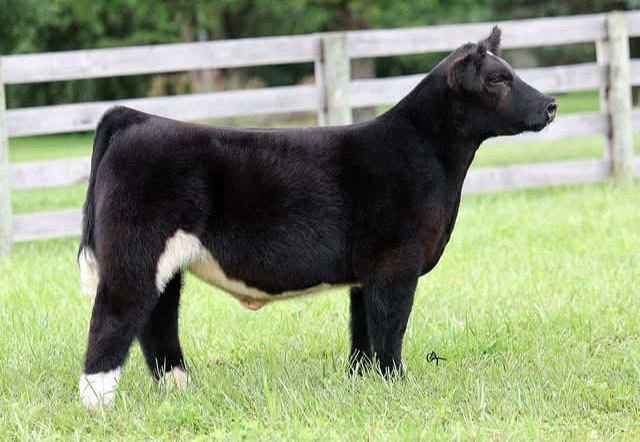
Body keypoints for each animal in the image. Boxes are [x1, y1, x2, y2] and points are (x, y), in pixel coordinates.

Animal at [77, 27, 557, 408]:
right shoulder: (396, 262)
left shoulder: (368, 272)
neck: (428, 153)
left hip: (166, 265)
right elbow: (390, 328)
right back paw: (99, 406)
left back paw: (180, 390)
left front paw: (365, 384)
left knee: (157, 324)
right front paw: (397, 385)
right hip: (133, 256)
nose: (551, 104)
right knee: (113, 320)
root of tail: (135, 118)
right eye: (498, 79)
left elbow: (364, 334)